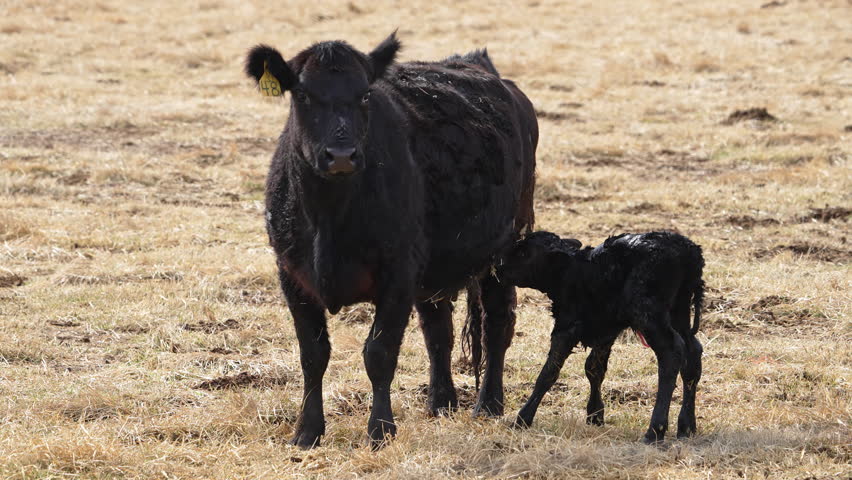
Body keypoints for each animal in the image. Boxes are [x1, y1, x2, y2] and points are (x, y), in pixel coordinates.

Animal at [244, 33, 537, 448]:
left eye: (365, 94)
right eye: (302, 94)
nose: (341, 155)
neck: (329, 218)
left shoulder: (397, 273)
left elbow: (379, 353)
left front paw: (380, 430)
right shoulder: (292, 275)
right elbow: (313, 354)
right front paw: (307, 431)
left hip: (505, 246)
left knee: (496, 323)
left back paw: (487, 405)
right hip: (434, 266)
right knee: (438, 329)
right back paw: (441, 403)